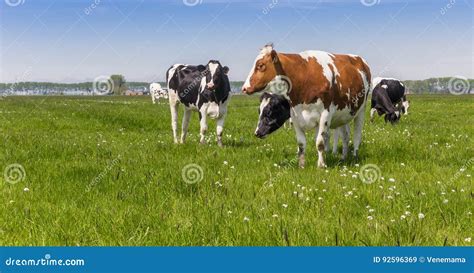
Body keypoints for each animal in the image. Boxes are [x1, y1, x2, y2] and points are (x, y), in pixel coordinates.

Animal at [243, 44, 372, 168]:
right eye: (259, 111)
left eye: (260, 65)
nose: (244, 88)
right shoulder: (295, 117)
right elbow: (302, 144)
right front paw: (301, 165)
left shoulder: (325, 115)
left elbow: (320, 142)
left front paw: (321, 165)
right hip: (343, 115)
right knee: (345, 136)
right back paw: (344, 157)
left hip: (361, 110)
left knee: (357, 135)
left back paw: (354, 156)